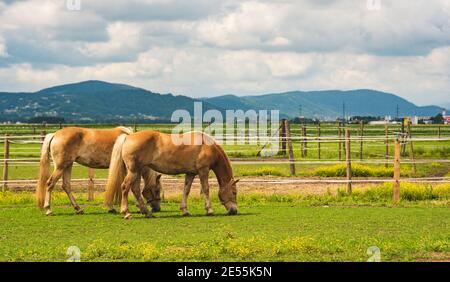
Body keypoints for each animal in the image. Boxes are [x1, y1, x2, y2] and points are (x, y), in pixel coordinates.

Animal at [105, 131, 239, 219]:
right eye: (234, 193)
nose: (234, 211)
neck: (206, 145)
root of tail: (128, 137)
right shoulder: (203, 171)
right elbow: (206, 189)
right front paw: (209, 210)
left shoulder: (190, 173)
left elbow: (186, 190)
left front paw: (185, 211)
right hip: (133, 171)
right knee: (125, 187)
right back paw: (126, 213)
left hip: (137, 171)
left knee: (136, 189)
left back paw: (147, 212)